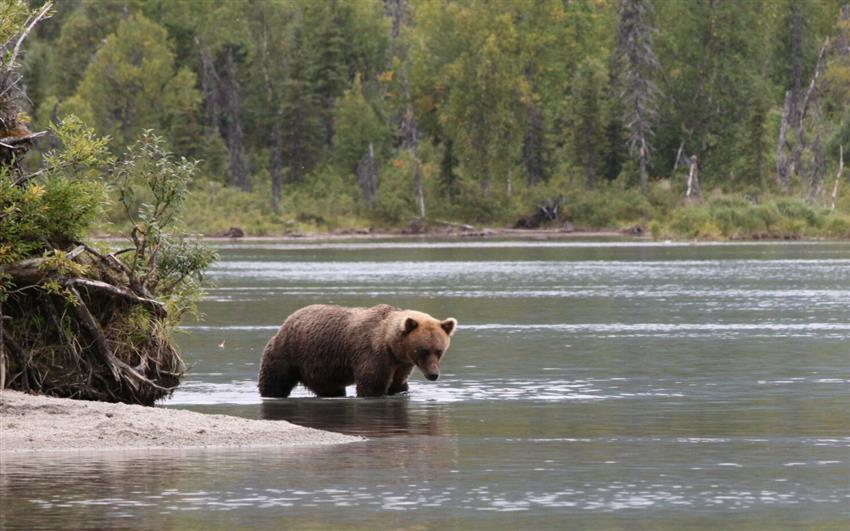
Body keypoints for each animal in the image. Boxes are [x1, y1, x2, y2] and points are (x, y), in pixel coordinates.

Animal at [258, 306, 458, 396]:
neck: (390, 345)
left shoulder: (401, 364)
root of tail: (288, 320)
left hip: (321, 370)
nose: (433, 375)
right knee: (274, 381)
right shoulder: (372, 355)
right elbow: (372, 385)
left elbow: (398, 385)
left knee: (331, 389)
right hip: (287, 354)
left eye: (439, 351)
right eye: (423, 351)